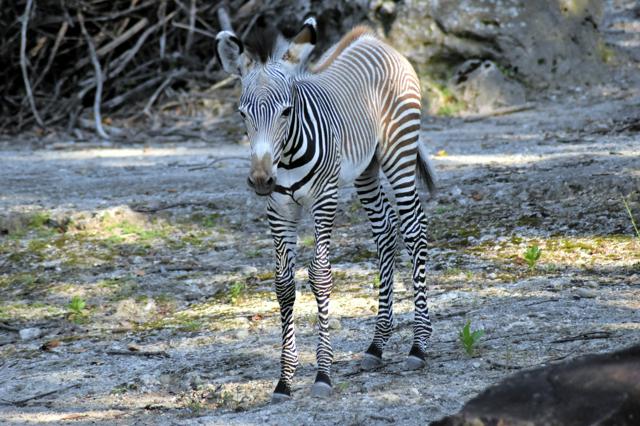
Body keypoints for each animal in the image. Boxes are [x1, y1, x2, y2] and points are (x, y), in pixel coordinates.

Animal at [215, 17, 436, 402]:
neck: (286, 158)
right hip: (366, 169)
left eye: (286, 111)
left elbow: (320, 276)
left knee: (413, 229)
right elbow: (284, 285)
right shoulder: (278, 210)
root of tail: (375, 41)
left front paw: (322, 374)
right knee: (385, 231)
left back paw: (419, 346)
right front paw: (285, 381)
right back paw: (377, 345)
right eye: (242, 114)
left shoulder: (324, 200)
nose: (261, 179)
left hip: (399, 152)